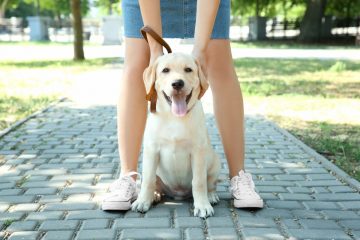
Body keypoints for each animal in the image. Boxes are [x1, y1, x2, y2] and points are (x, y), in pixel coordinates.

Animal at [131, 52, 221, 218]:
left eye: (188, 69)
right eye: (165, 70)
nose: (177, 83)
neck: (174, 117)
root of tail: (178, 194)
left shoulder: (198, 152)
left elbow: (199, 182)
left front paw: (202, 206)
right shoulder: (151, 150)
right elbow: (148, 180)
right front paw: (142, 201)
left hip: (215, 163)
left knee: (210, 183)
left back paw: (211, 196)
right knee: (154, 182)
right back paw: (154, 195)